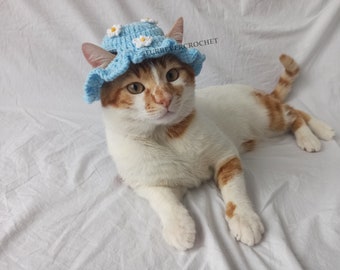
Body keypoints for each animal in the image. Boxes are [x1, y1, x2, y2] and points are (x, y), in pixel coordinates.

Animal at [81, 17, 334, 250]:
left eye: (172, 75)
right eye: (135, 87)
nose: (165, 99)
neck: (167, 135)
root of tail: (257, 91)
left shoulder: (226, 155)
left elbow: (234, 189)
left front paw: (244, 219)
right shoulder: (142, 181)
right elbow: (162, 198)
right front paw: (179, 227)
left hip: (268, 119)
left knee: (294, 112)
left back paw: (316, 133)